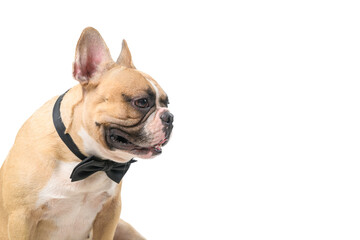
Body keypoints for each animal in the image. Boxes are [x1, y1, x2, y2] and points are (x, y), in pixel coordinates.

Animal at [0, 27, 174, 239]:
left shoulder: (110, 212)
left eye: (167, 103)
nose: (169, 117)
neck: (81, 158)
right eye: (141, 102)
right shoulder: (20, 219)